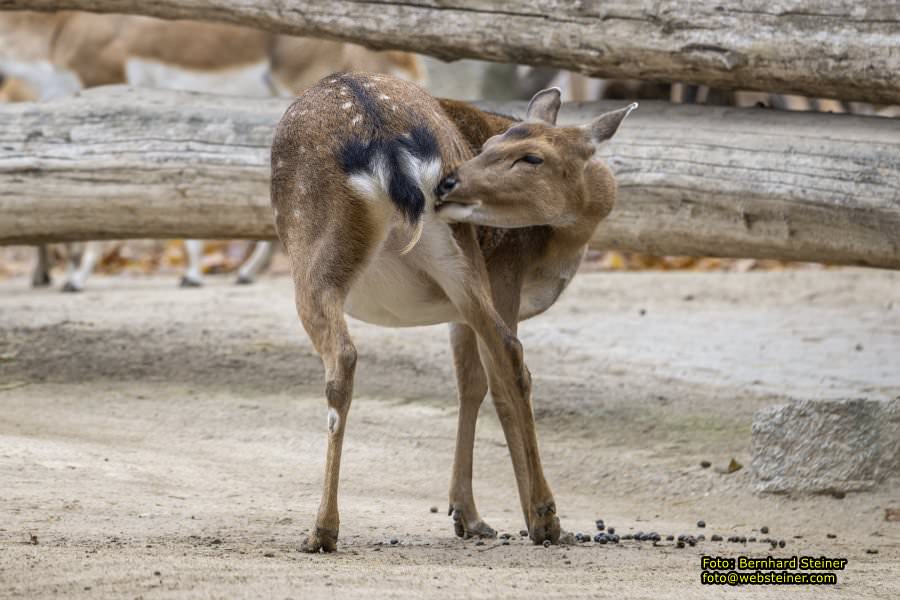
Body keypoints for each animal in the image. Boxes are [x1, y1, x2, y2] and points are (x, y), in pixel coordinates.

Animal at [270, 71, 636, 552]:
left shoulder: (502, 274)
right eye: (490, 145)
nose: (451, 183)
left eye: (532, 158)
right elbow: (472, 386)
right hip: (459, 257)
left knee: (343, 360)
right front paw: (469, 515)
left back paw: (322, 530)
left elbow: (482, 387)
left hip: (315, 256)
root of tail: (385, 142)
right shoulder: (484, 290)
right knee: (511, 354)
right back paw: (547, 520)